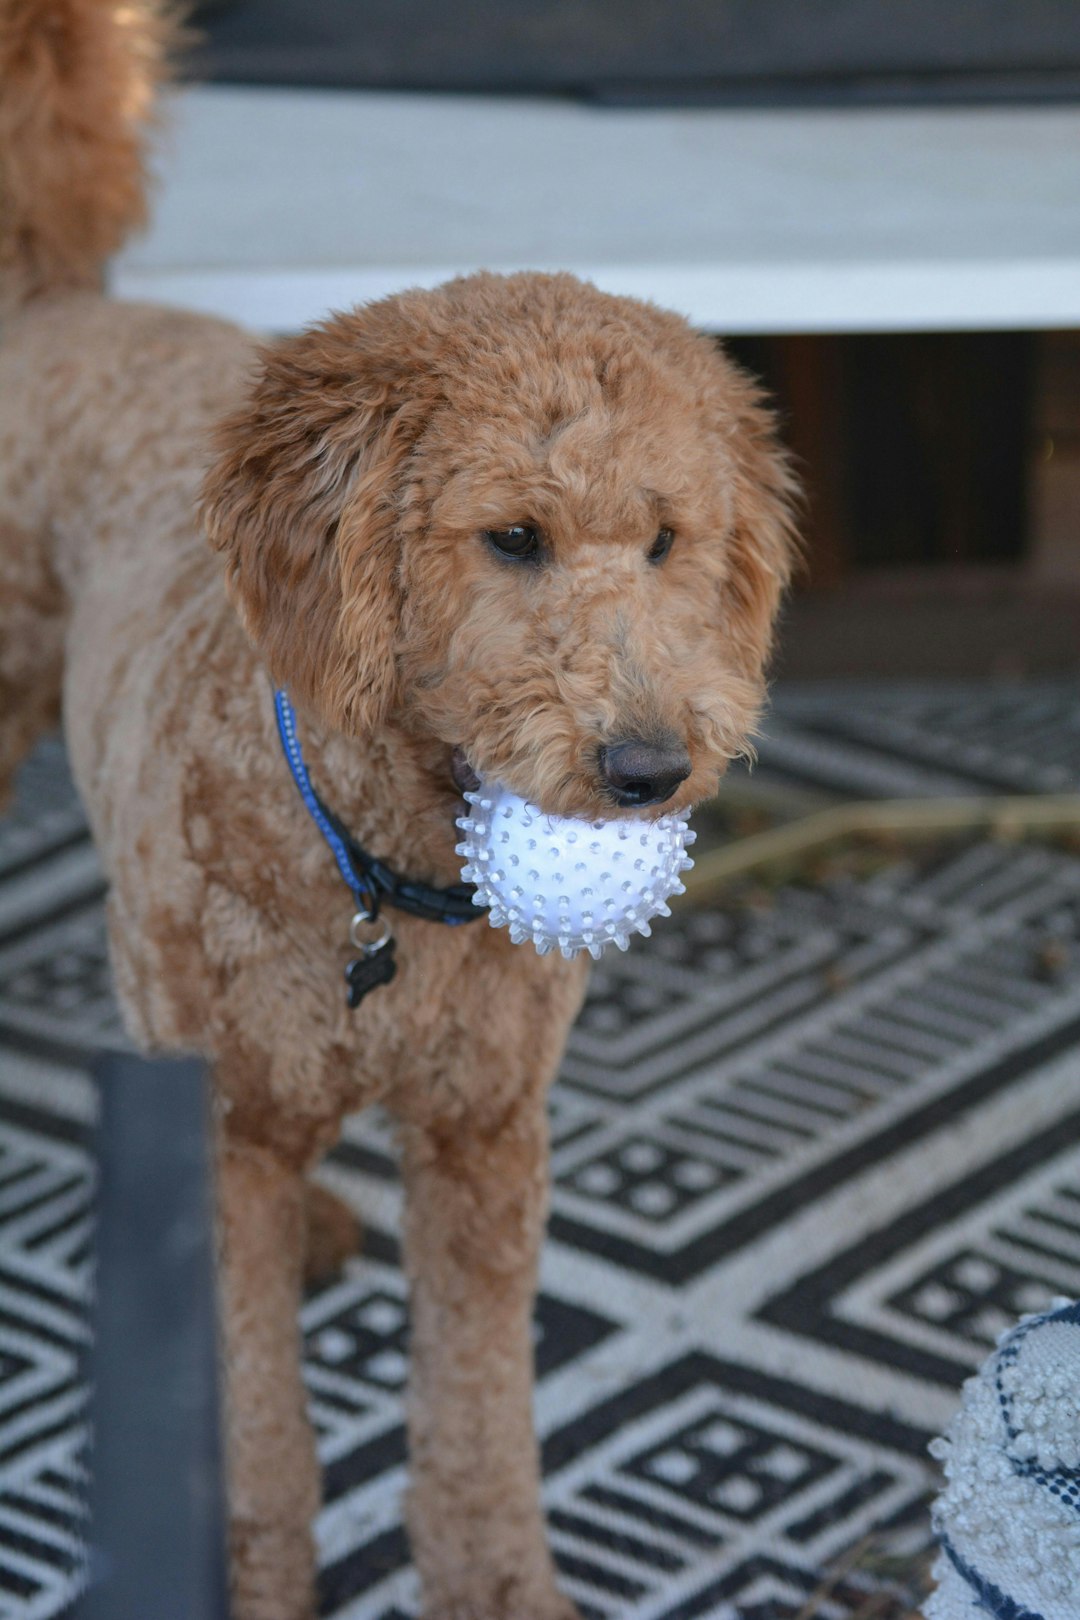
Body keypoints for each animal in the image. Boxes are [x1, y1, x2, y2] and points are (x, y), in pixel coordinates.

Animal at [0, 6, 793, 1613]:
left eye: (667, 541)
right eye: (512, 538)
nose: (648, 769)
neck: (388, 873)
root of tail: (57, 302)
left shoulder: (487, 1138)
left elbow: (479, 1425)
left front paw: (497, 1586)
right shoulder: (229, 1155)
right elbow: (253, 1436)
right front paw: (247, 1579)